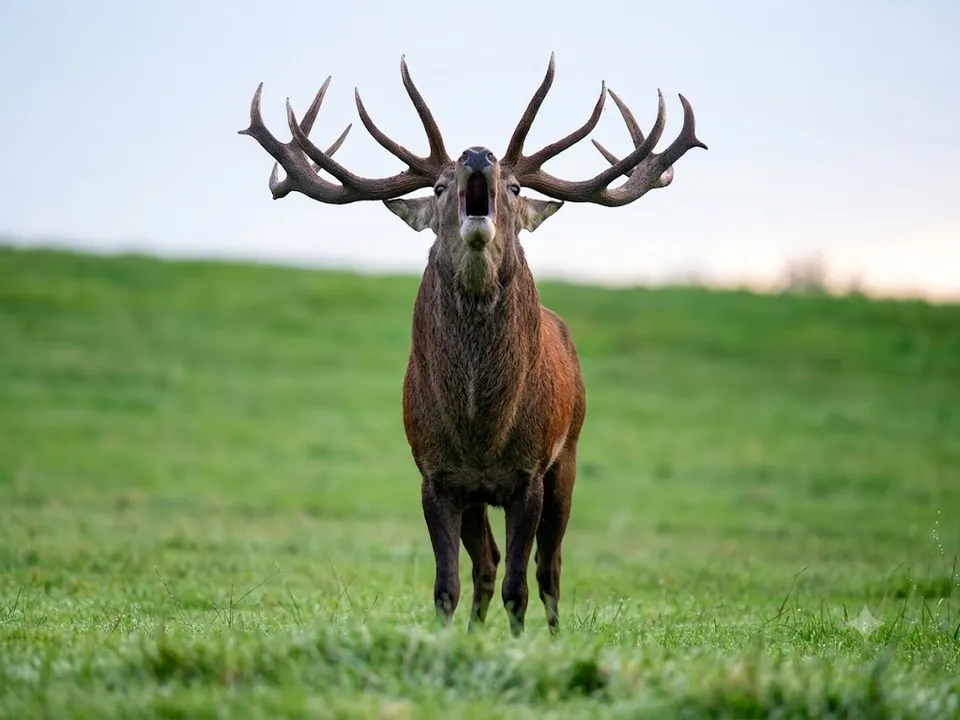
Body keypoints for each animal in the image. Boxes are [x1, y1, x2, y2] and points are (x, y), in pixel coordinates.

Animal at [238, 54, 706, 636]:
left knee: (549, 566)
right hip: (481, 495)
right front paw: (449, 639)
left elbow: (519, 586)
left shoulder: (529, 474)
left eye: (515, 188)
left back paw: (554, 635)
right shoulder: (436, 475)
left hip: (569, 454)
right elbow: (448, 584)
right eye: (439, 188)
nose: (477, 153)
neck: (481, 425)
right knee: (487, 562)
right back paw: (475, 632)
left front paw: (522, 643)